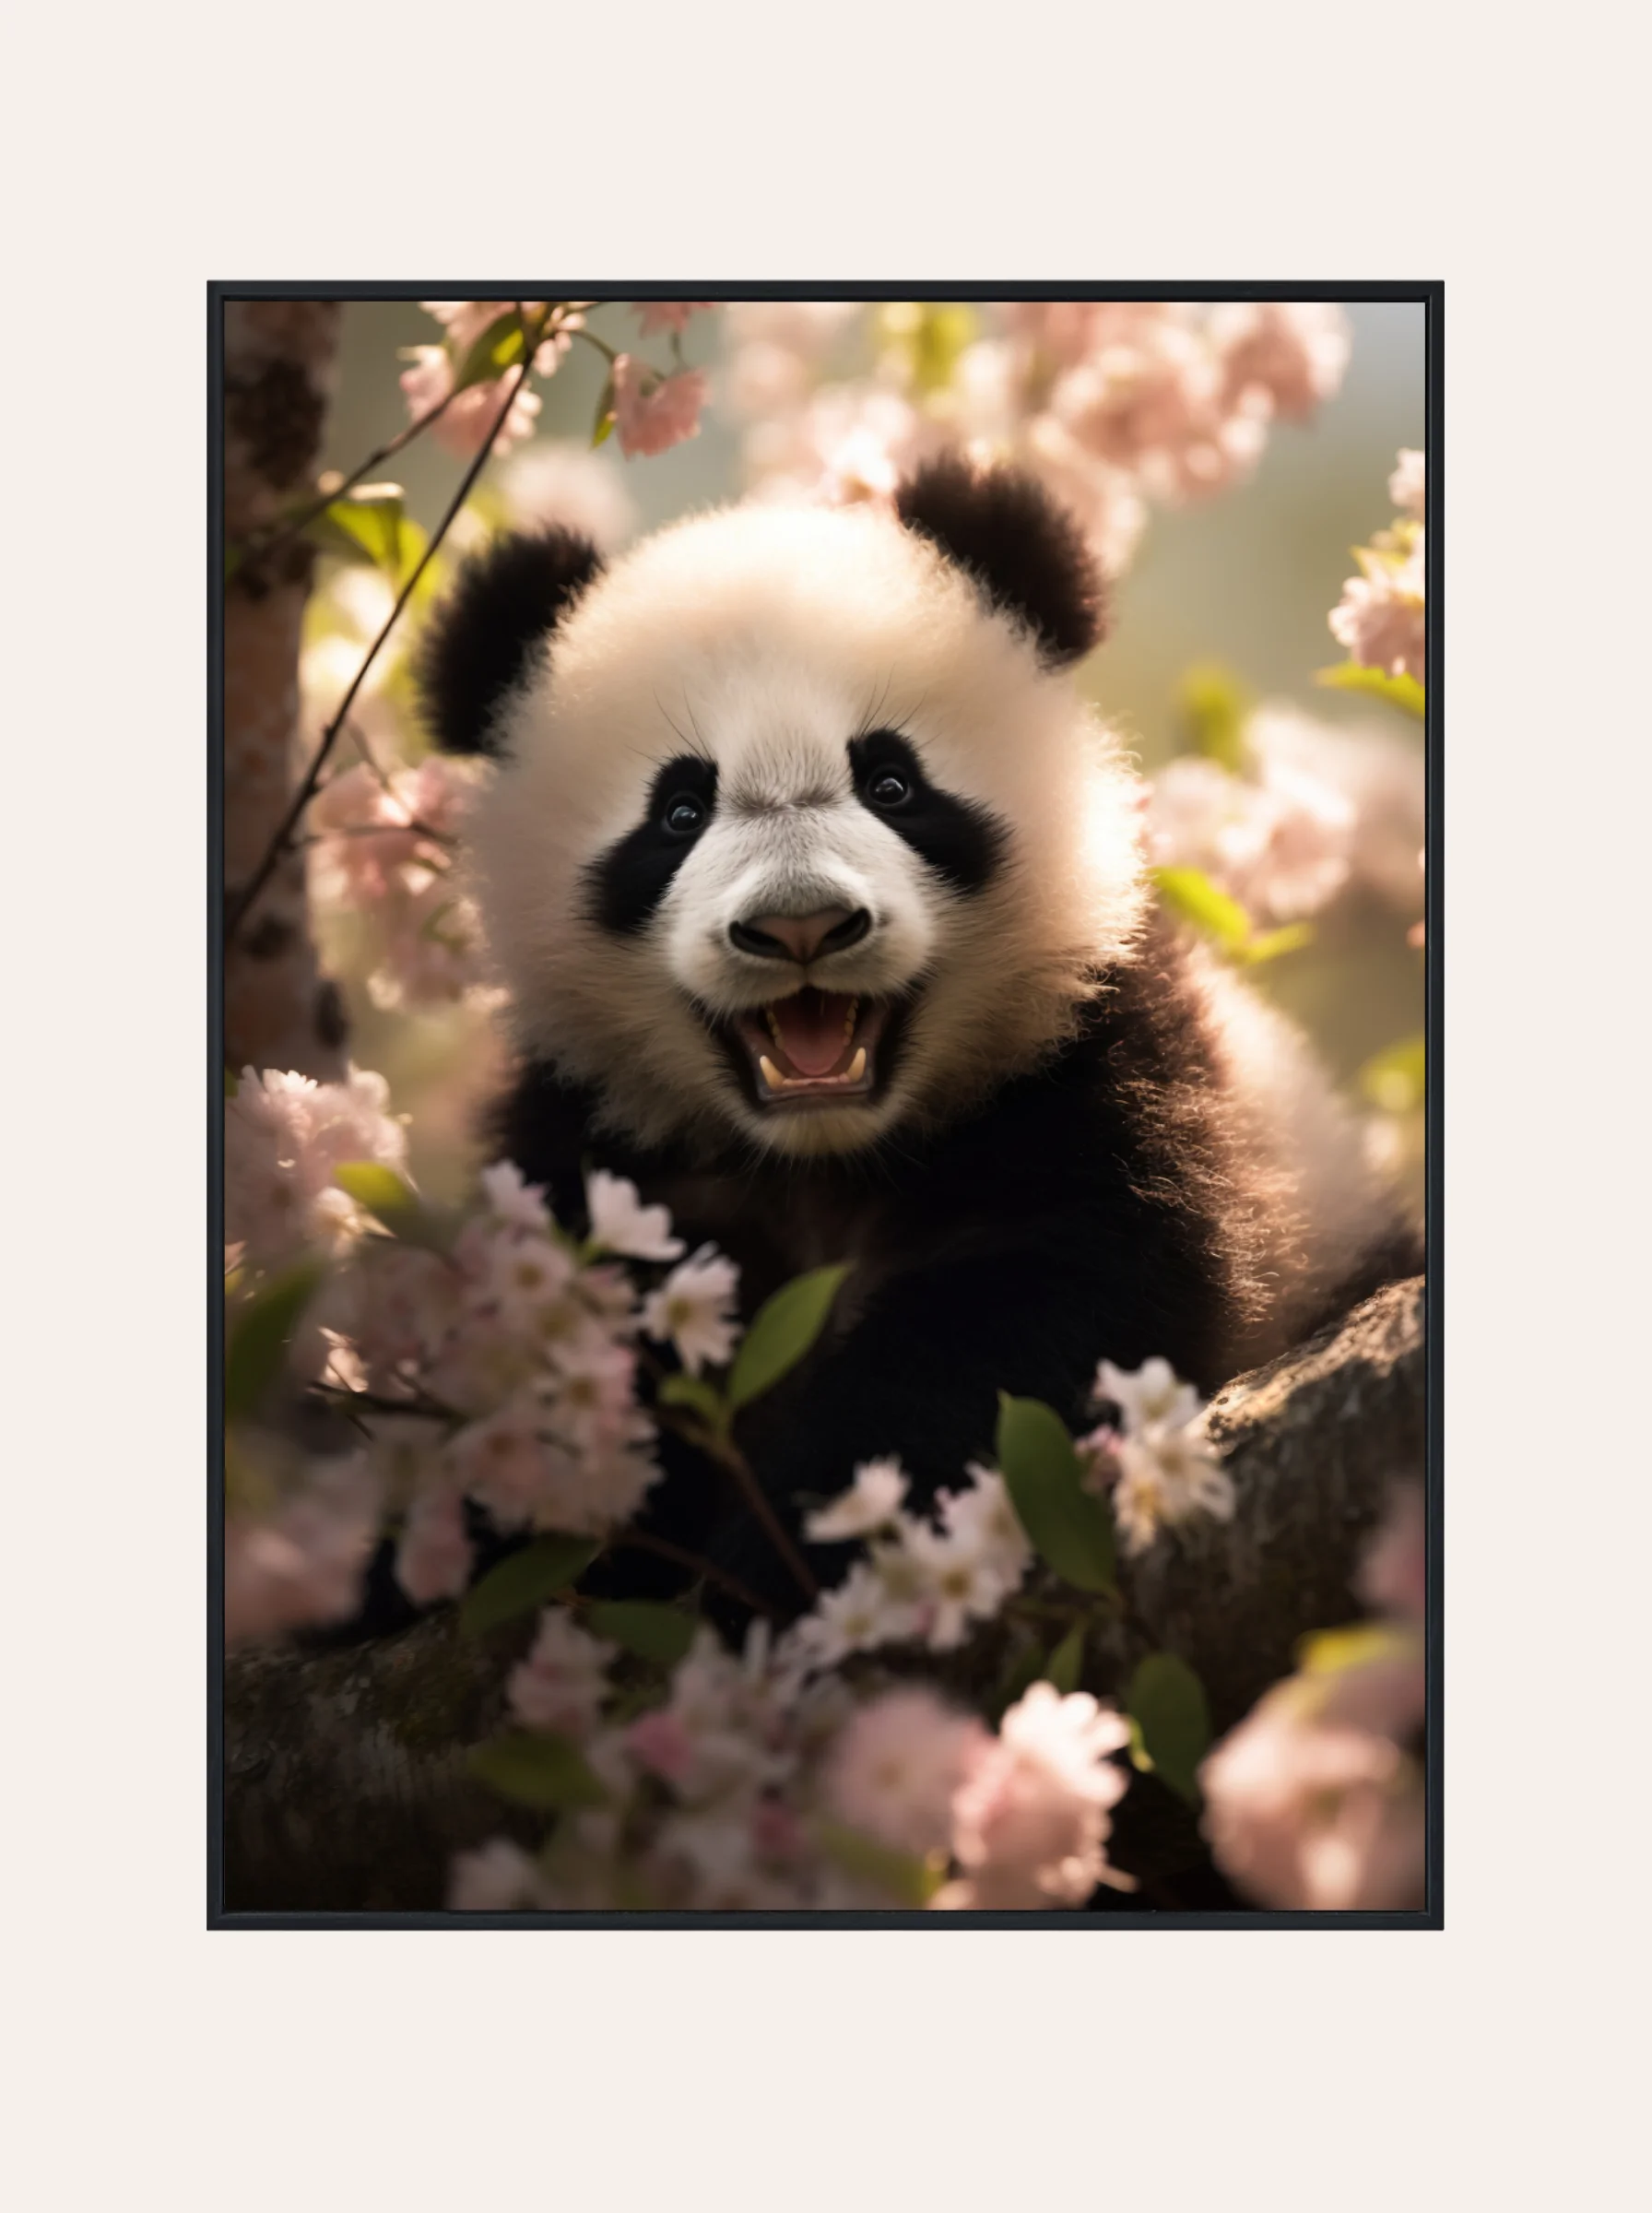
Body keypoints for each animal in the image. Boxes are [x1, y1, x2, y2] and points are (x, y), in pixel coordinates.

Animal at [416, 455, 1422, 1614]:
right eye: (677, 811)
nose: (800, 925)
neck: (826, 1158)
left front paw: (803, 1544)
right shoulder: (595, 1153)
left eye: (891, 783)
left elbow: (1032, 1313)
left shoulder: (1102, 1065)